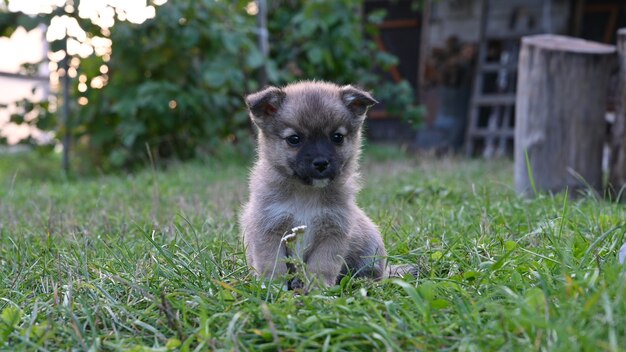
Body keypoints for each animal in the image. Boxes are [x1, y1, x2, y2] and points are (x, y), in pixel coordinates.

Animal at [240, 80, 390, 288]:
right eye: (294, 139)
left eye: (337, 137)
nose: (321, 163)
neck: (306, 193)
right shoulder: (269, 229)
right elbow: (273, 265)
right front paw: (274, 288)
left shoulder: (334, 231)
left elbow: (322, 266)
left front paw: (318, 290)